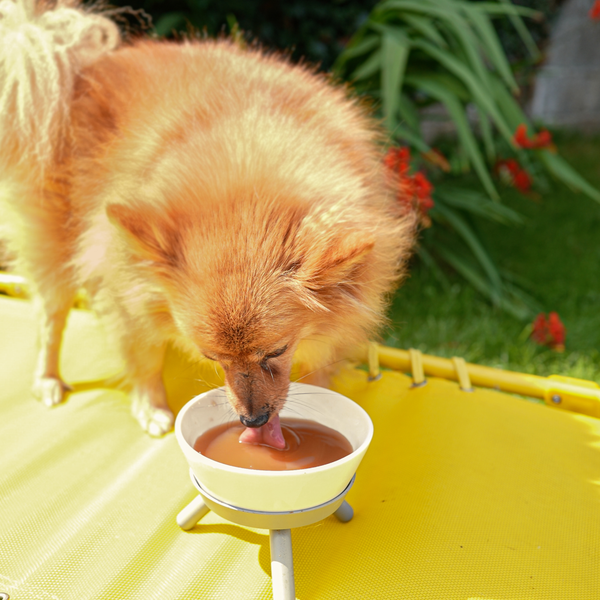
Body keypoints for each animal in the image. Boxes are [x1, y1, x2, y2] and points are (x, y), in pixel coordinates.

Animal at [0, 0, 412, 440]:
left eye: (277, 351)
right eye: (212, 357)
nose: (252, 419)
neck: (248, 187)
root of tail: (81, 66)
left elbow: (320, 367)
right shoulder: (126, 285)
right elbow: (143, 354)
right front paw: (151, 406)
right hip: (53, 242)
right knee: (51, 316)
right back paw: (47, 379)